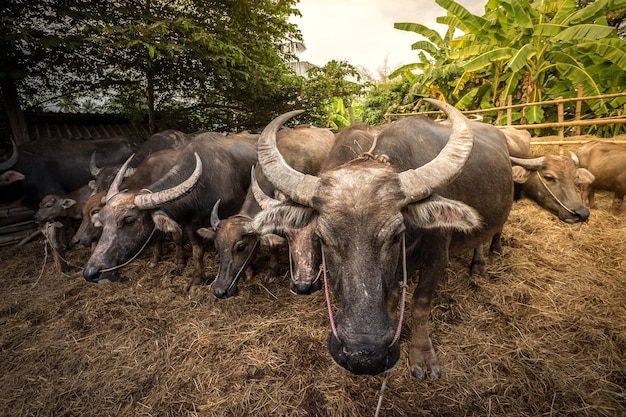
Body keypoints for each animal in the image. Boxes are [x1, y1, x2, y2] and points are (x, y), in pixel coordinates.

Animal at [83, 132, 258, 290]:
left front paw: (248, 273)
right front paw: (196, 281)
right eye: (102, 220)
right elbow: (197, 251)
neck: (206, 183)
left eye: (128, 221)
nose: (91, 272)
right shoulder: (190, 224)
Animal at [249, 101, 512, 376]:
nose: (363, 355)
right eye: (323, 238)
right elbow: (393, 300)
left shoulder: (438, 259)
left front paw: (422, 356)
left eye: (397, 235)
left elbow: (420, 305)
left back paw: (479, 264)